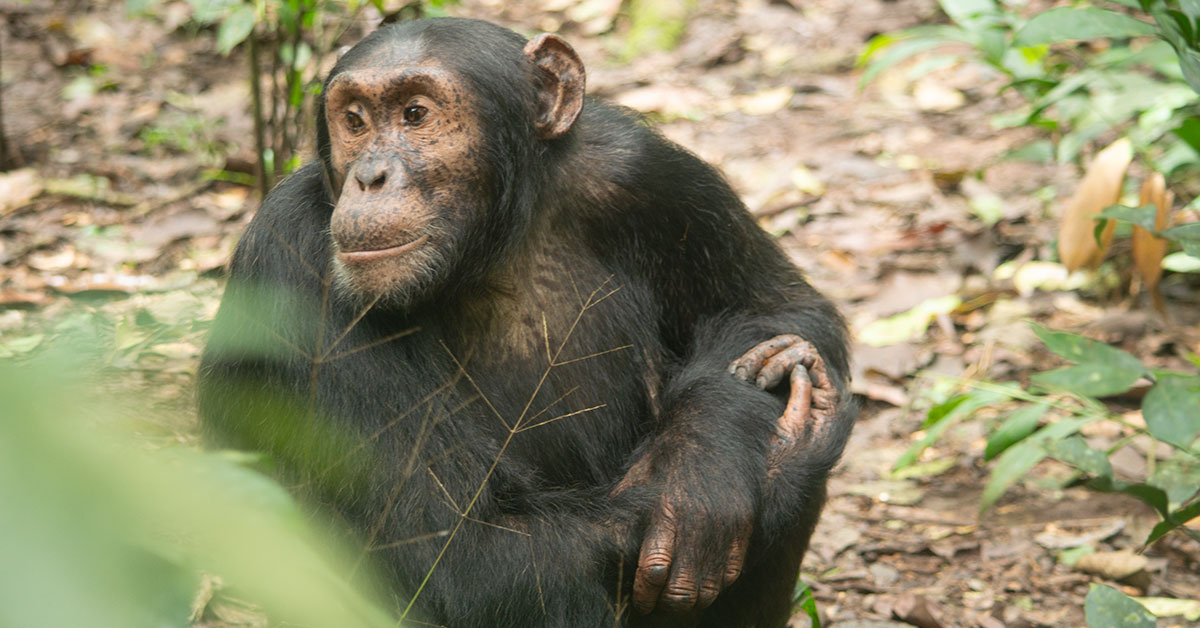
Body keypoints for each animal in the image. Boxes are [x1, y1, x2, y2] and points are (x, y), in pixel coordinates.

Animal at [199, 17, 854, 628]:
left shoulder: (647, 173)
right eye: (355, 121)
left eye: (415, 114)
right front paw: (757, 469)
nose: (370, 176)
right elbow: (457, 553)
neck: (490, 245)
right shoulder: (290, 257)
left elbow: (773, 307)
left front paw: (706, 460)